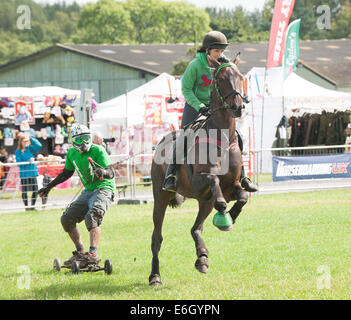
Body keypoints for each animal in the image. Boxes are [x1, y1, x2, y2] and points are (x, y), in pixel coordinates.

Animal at [150, 55, 249, 284]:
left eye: (240, 77)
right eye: (220, 79)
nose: (238, 107)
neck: (222, 137)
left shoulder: (232, 186)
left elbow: (243, 196)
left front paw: (231, 216)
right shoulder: (199, 181)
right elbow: (213, 179)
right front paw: (224, 210)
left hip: (204, 203)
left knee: (195, 229)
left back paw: (202, 258)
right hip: (161, 198)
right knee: (157, 238)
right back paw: (155, 276)